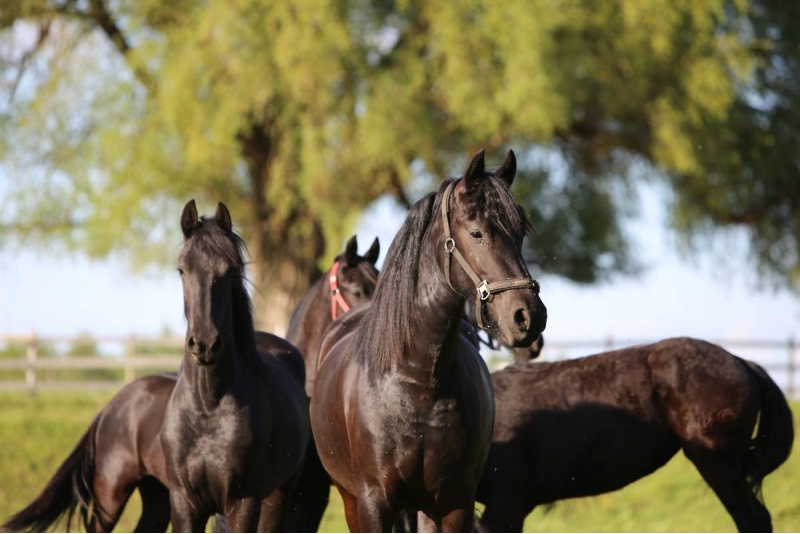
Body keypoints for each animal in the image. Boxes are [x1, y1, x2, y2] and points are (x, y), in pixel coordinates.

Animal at [157, 202, 310, 534]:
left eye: (229, 271)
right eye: (182, 269)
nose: (204, 344)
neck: (207, 408)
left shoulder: (244, 502)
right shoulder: (184, 503)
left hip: (277, 496)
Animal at [310, 149, 548, 532]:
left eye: (520, 232)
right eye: (477, 233)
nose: (529, 316)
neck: (418, 382)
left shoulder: (454, 503)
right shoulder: (373, 503)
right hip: (351, 499)